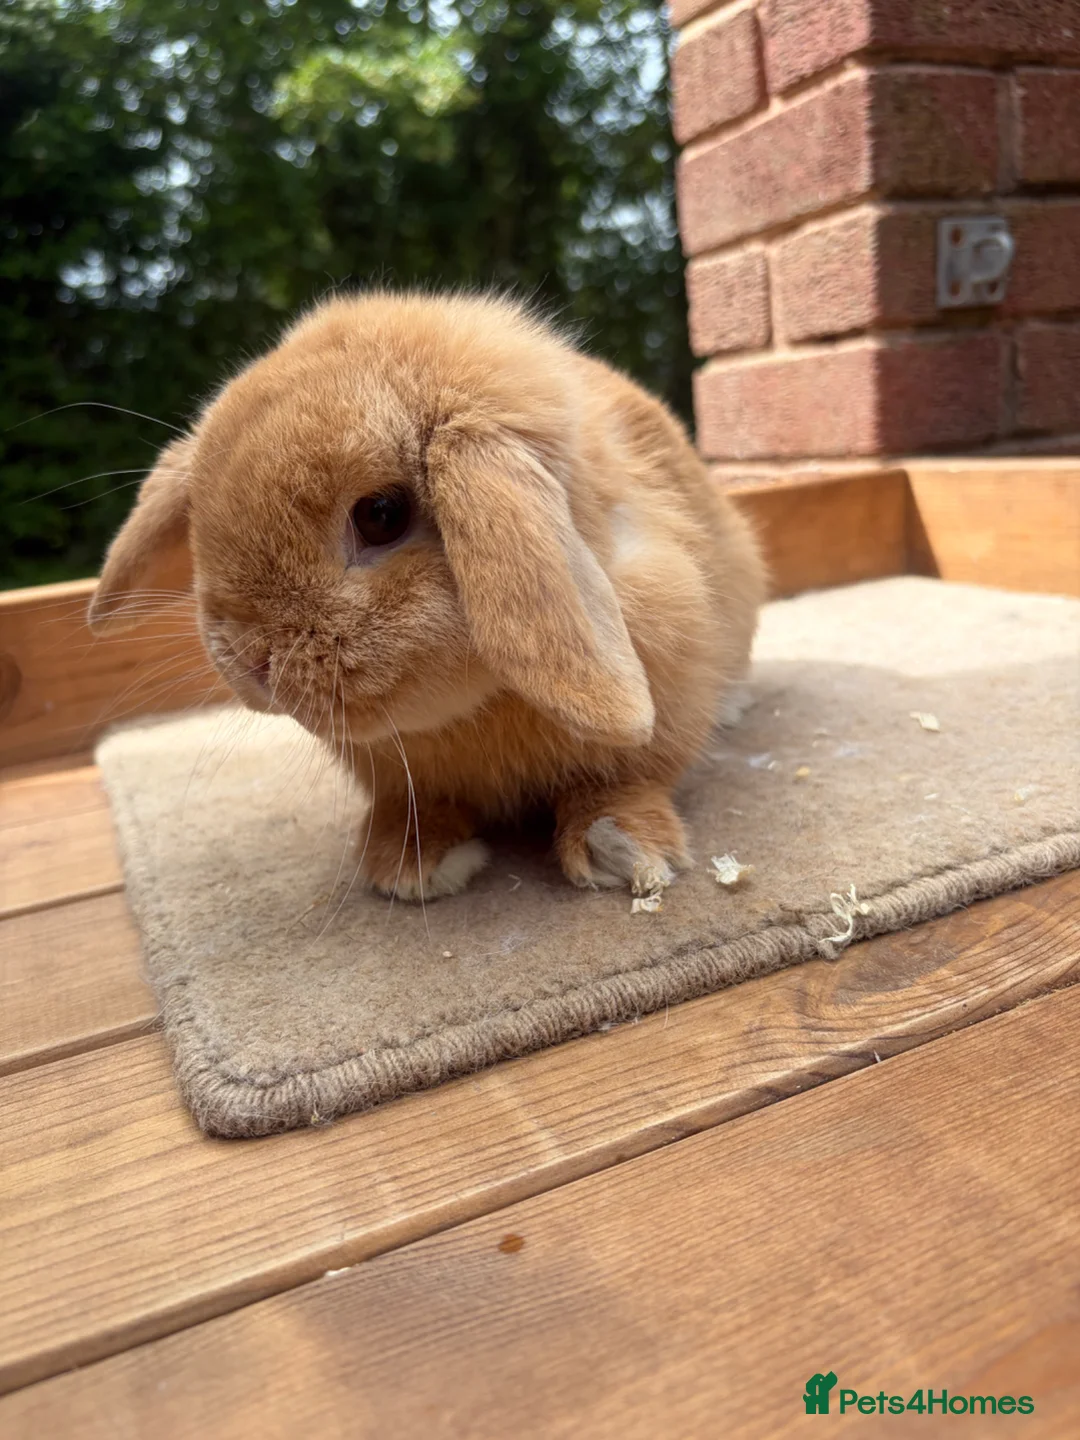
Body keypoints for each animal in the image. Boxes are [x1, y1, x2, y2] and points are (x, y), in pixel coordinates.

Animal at [89, 292, 766, 900]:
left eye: (381, 515)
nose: (252, 661)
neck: (478, 709)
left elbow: (626, 778)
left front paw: (623, 851)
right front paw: (411, 866)